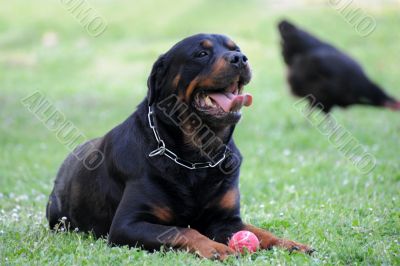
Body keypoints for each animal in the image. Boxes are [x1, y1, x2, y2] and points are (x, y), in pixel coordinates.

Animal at [46, 33, 312, 260]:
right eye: (201, 54)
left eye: (236, 49)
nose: (240, 58)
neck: (198, 156)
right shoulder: (127, 224)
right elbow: (183, 230)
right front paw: (216, 248)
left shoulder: (227, 220)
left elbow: (260, 231)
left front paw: (289, 244)